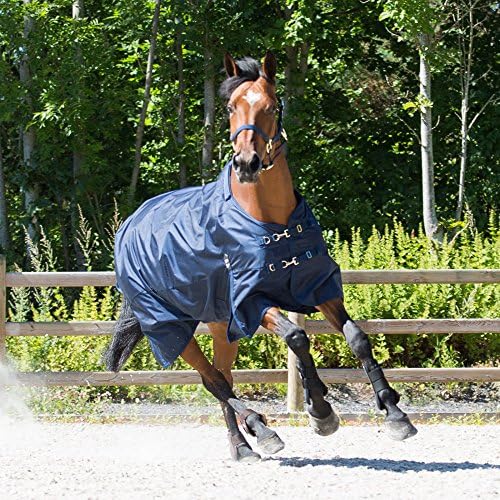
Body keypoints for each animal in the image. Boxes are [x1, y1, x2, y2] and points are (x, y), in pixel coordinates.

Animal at [105, 52, 418, 462]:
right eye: (230, 107)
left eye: (272, 106)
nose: (247, 163)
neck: (270, 222)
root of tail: (130, 226)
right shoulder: (252, 301)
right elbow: (297, 337)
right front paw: (321, 411)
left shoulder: (318, 288)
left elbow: (356, 337)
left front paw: (394, 413)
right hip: (171, 328)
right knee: (213, 381)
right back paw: (261, 429)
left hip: (220, 327)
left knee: (222, 376)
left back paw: (243, 447)